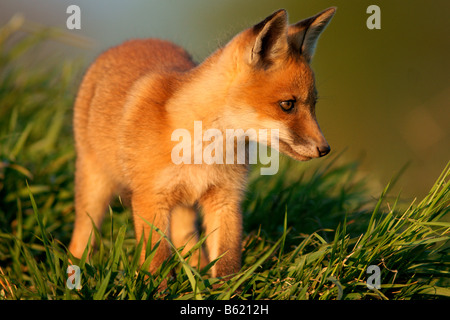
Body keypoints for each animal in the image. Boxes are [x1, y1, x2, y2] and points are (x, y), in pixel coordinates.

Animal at [68, 8, 336, 280]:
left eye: (313, 105)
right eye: (287, 105)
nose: (325, 149)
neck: (204, 149)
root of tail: (131, 42)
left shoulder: (226, 198)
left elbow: (227, 260)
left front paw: (225, 288)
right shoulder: (150, 198)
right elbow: (157, 259)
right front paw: (156, 286)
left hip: (184, 203)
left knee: (186, 240)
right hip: (95, 186)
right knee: (81, 238)